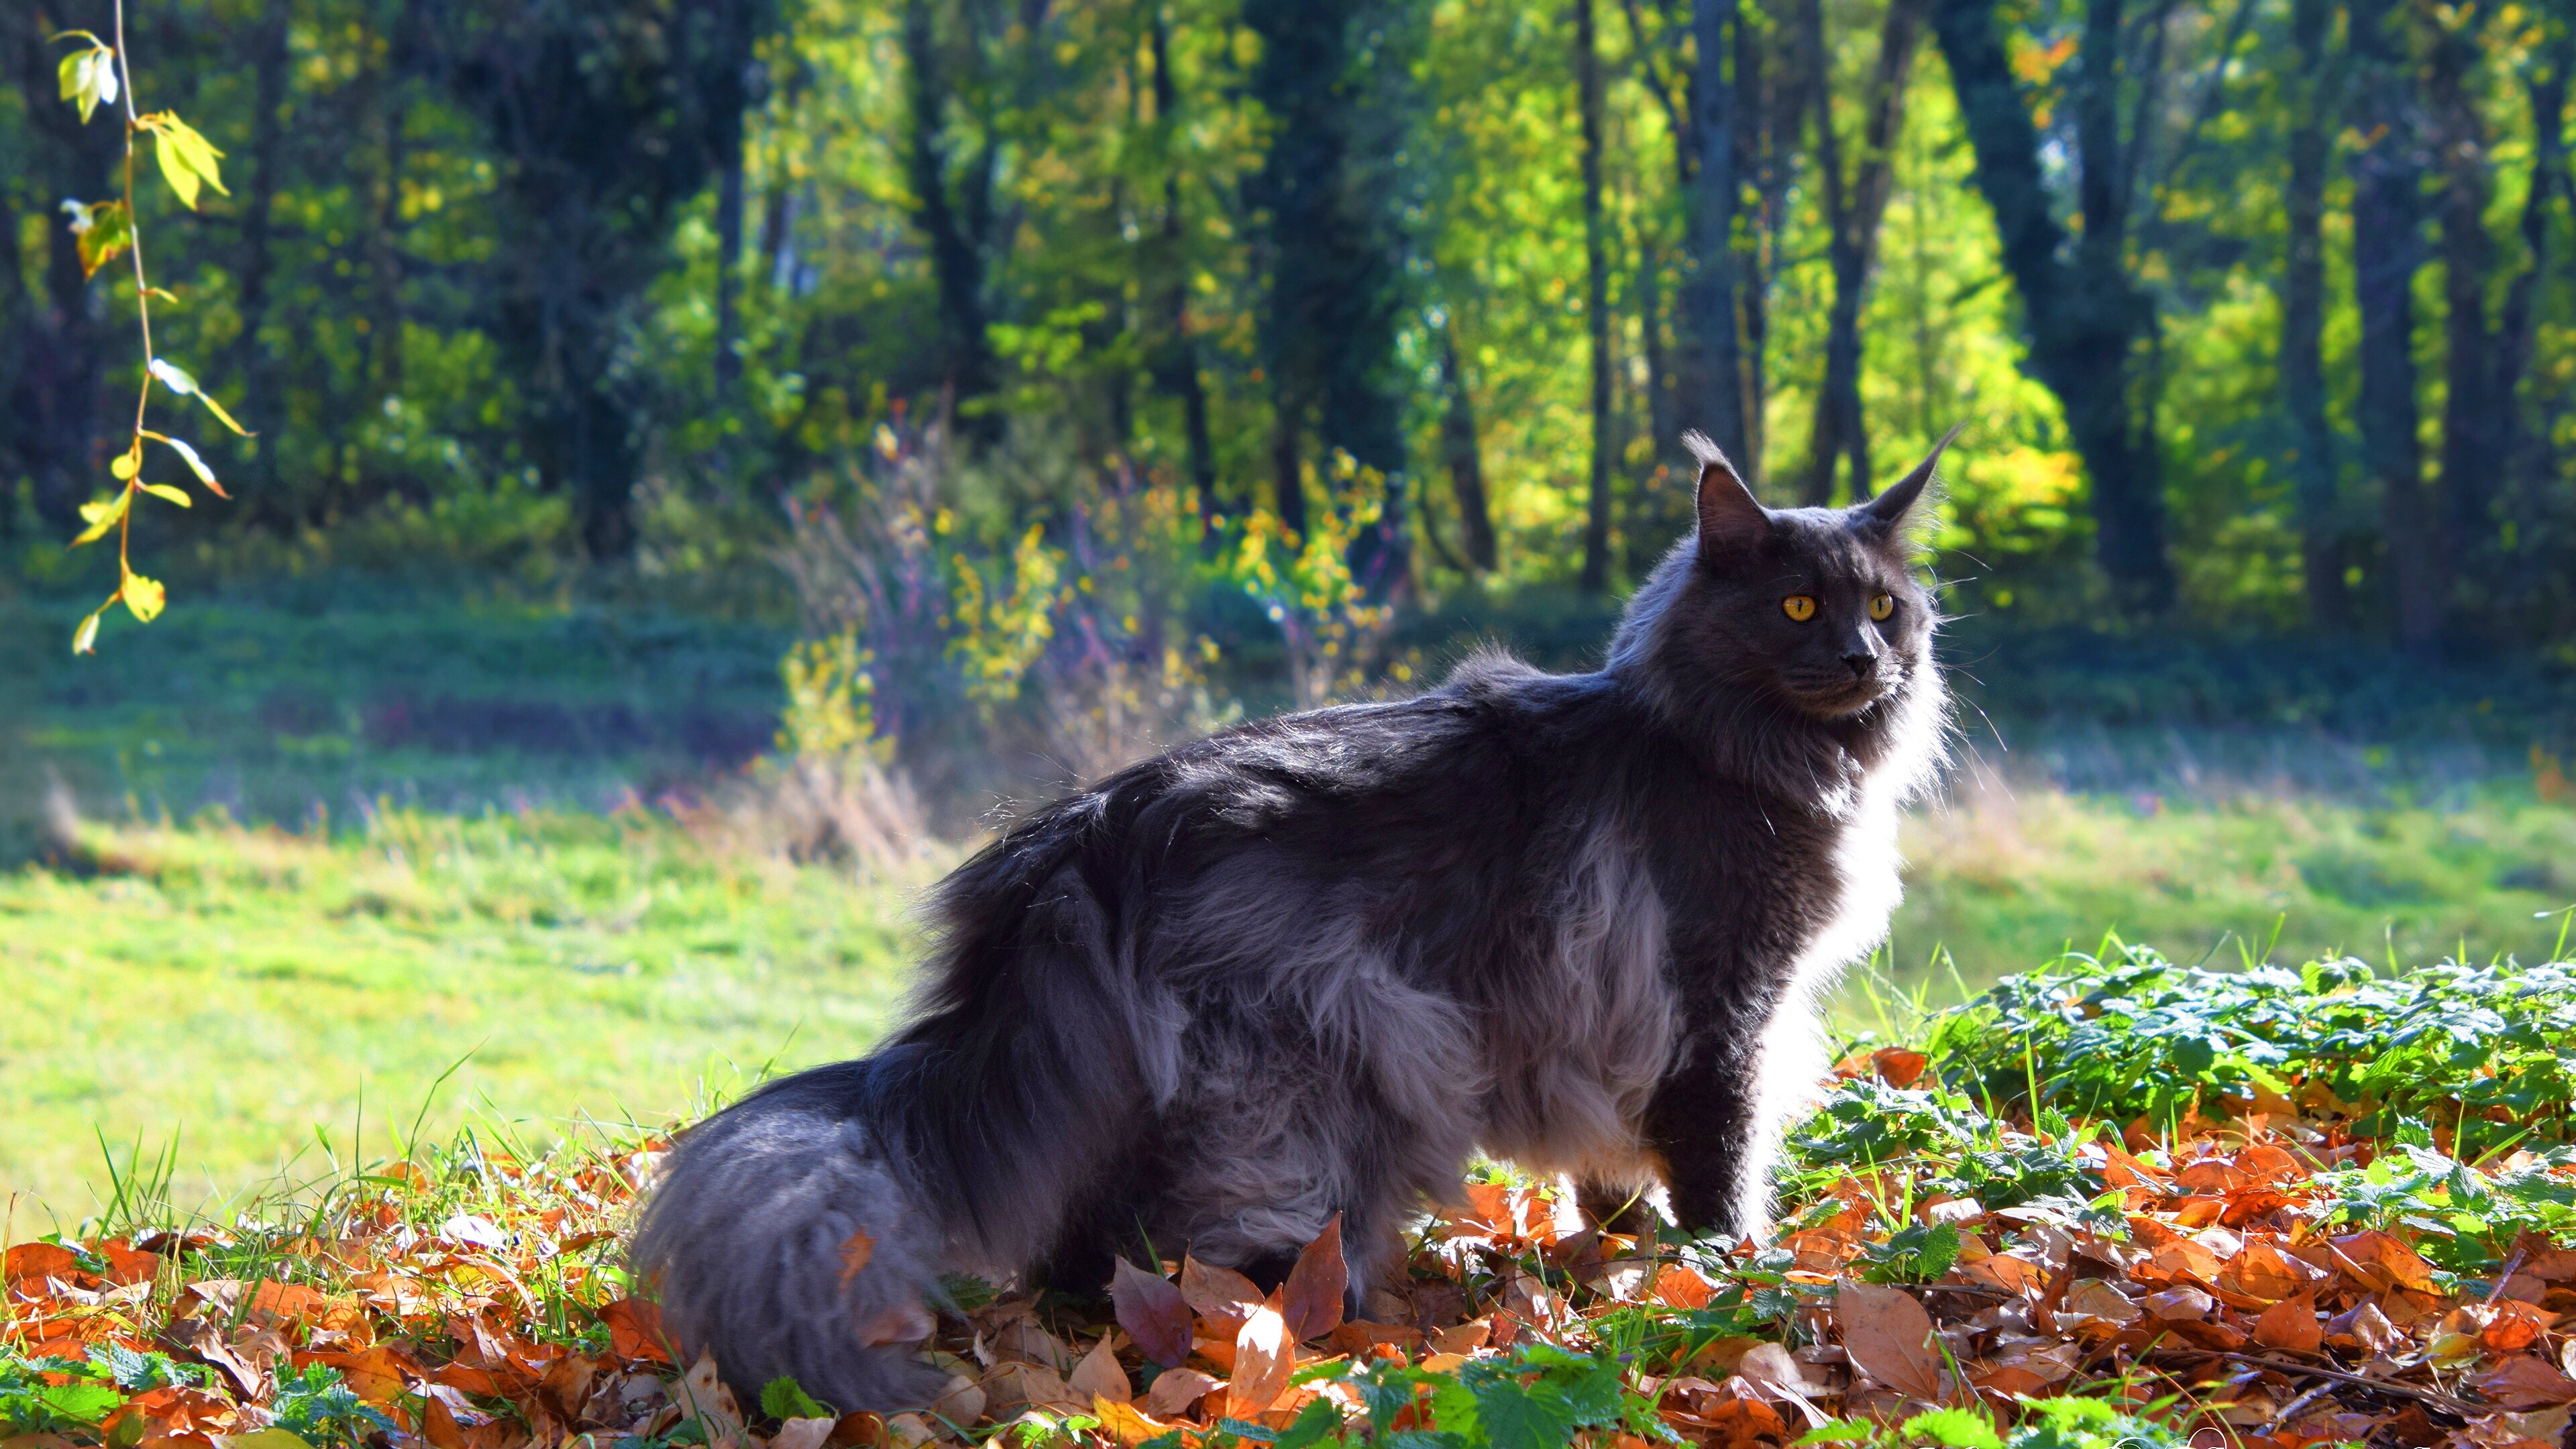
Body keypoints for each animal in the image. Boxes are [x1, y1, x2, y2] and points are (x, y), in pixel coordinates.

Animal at [633, 425, 1937, 1402]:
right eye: (1800, 607)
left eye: (1885, 608)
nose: (1867, 662)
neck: (1731, 751)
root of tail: (1088, 830)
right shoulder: (1724, 1010)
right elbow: (1722, 1166)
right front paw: (1729, 1278)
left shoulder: (1616, 1030)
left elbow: (1610, 1173)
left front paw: (1614, 1264)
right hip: (1321, 1075)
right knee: (1193, 1247)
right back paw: (1292, 1328)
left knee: (1087, 1243)